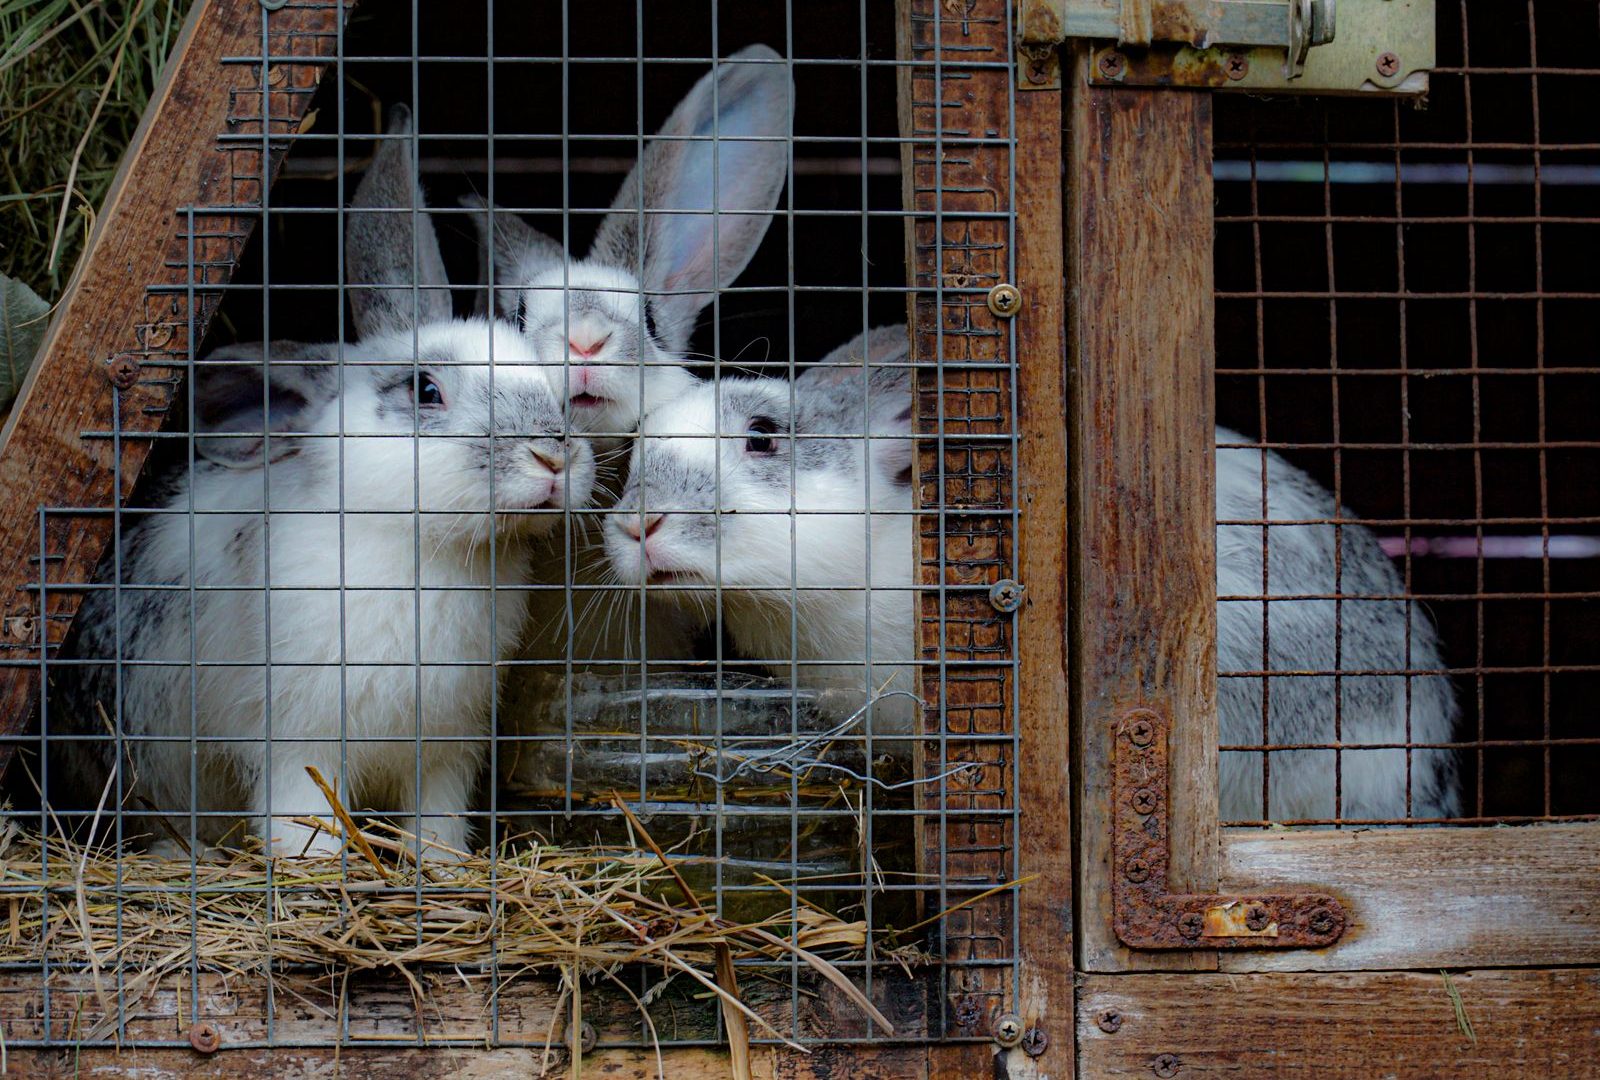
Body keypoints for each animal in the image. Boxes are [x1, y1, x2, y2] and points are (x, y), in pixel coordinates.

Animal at [50, 106, 596, 858]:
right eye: (425, 390)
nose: (554, 457)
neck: (424, 548)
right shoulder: (296, 743)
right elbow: (301, 817)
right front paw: (311, 864)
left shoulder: (445, 751)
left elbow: (437, 822)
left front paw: (443, 864)